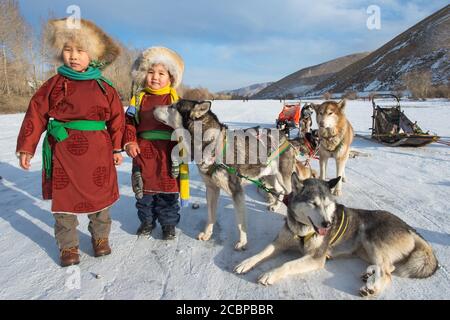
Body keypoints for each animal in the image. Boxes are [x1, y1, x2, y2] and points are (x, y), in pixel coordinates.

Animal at [153, 100, 298, 250]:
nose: (153, 107)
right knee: (279, 191)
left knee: (288, 192)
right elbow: (210, 216)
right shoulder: (211, 189)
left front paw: (243, 242)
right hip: (270, 177)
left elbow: (240, 223)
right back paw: (275, 205)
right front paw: (207, 234)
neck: (211, 145)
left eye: (172, 106)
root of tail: (285, 137)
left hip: (283, 179)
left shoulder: (237, 192)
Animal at [234, 175, 438, 298]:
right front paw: (246, 262)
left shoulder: (315, 258)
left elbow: (287, 264)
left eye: (327, 204)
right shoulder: (280, 243)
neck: (303, 230)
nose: (327, 224)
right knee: (386, 267)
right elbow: (261, 253)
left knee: (388, 271)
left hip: (370, 239)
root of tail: (409, 228)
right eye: (313, 203)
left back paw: (372, 287)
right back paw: (369, 274)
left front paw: (270, 273)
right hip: (365, 249)